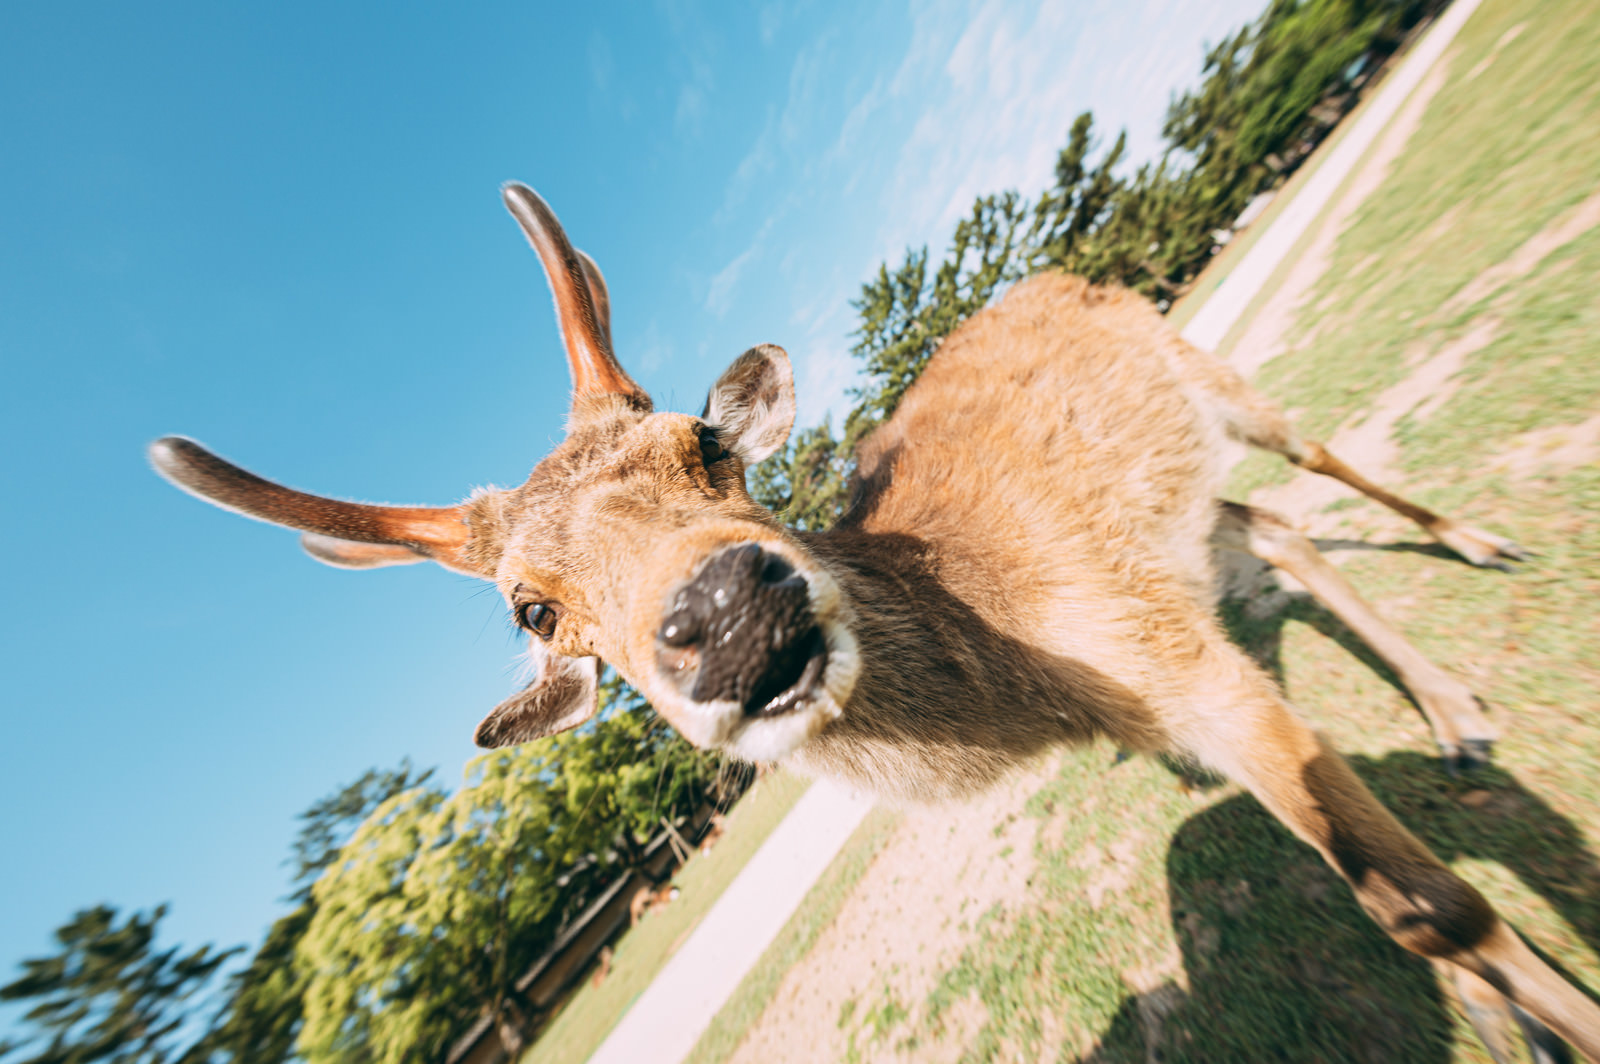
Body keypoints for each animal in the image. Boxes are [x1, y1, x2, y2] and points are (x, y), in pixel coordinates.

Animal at [147, 186, 1587, 1056]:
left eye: (708, 444)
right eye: (532, 606)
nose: (729, 608)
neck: (1032, 685)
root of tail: (1048, 274)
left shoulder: (1171, 658)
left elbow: (1433, 901)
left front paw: (1542, 1004)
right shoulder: (1163, 649)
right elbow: (1400, 899)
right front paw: (1506, 1014)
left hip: (1208, 369)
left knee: (1318, 456)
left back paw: (1473, 547)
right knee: (1267, 522)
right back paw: (1454, 713)